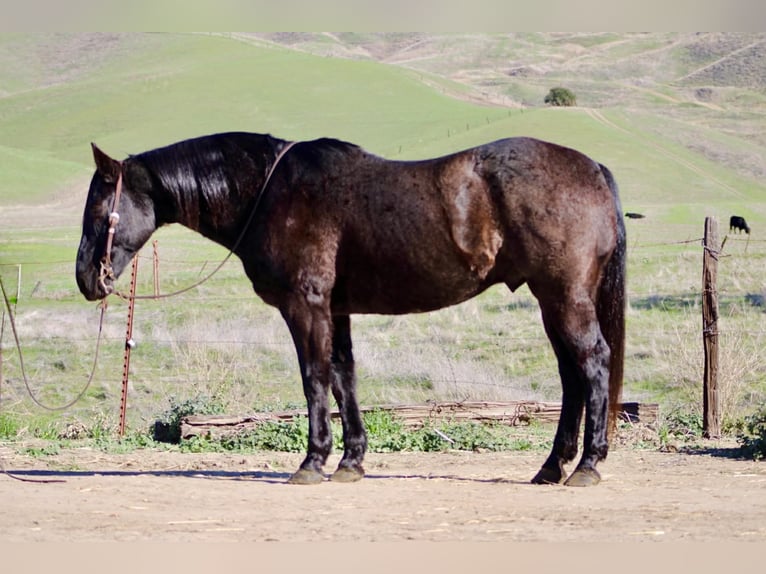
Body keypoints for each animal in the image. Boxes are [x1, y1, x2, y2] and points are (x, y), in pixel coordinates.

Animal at [76, 132, 626, 487]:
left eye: (100, 210)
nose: (86, 278)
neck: (269, 191)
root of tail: (593, 169)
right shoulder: (335, 311)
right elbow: (344, 377)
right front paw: (350, 462)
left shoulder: (306, 307)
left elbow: (315, 377)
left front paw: (312, 462)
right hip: (552, 300)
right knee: (572, 376)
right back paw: (552, 467)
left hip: (564, 298)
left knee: (592, 364)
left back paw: (587, 467)